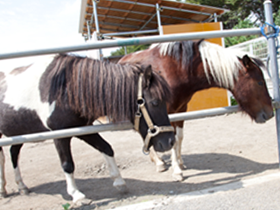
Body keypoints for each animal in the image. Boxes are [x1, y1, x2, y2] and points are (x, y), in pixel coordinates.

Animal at [0, 53, 175, 203]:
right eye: (155, 102)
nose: (170, 142)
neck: (64, 90)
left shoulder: (83, 129)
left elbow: (107, 148)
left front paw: (119, 182)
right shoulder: (60, 136)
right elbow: (67, 164)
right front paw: (76, 195)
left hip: (18, 132)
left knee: (13, 153)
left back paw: (21, 187)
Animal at [118, 39, 274, 180]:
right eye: (260, 82)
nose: (271, 114)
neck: (175, 69)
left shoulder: (181, 109)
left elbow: (178, 137)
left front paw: (180, 163)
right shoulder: (165, 112)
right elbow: (170, 138)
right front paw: (177, 171)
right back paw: (158, 162)